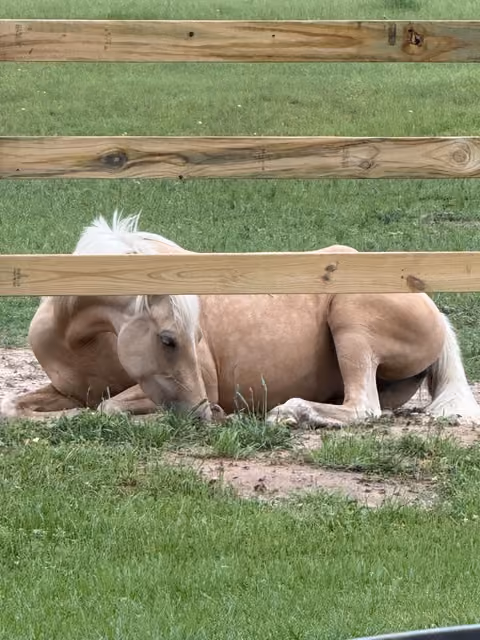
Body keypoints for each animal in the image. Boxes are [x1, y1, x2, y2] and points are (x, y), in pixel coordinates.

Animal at [2, 212, 480, 428]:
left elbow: (106, 407)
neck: (81, 342)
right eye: (169, 339)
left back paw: (289, 412)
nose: (204, 412)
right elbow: (14, 407)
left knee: (363, 408)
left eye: (194, 338)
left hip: (352, 325)